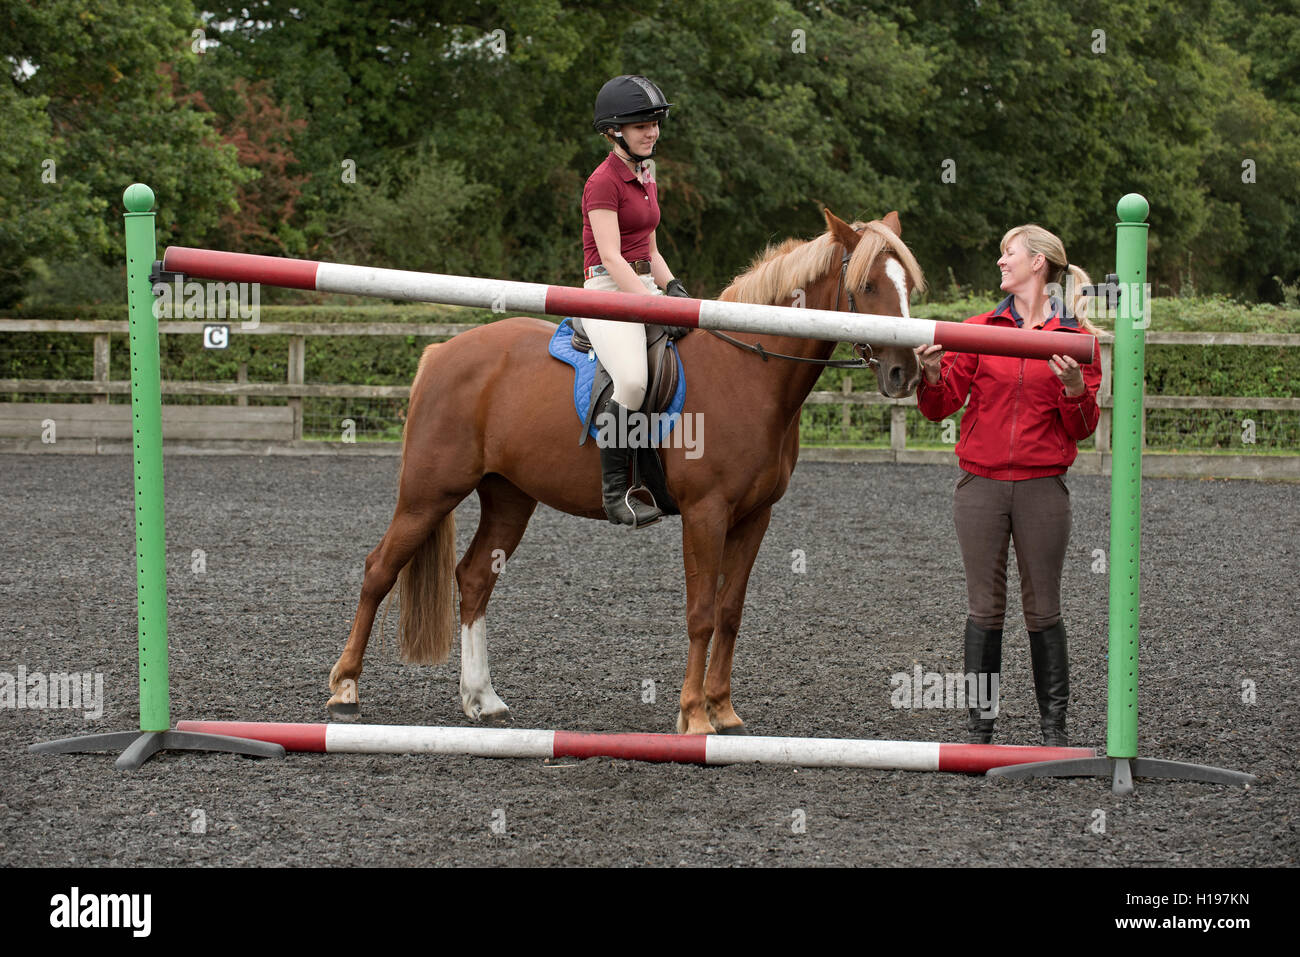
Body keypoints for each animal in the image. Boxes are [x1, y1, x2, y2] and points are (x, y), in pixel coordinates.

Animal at [327, 208, 925, 733]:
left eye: (908, 289)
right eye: (867, 285)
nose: (907, 372)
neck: (747, 372)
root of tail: (441, 353)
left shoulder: (755, 516)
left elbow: (730, 611)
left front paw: (725, 712)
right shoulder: (706, 514)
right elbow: (702, 613)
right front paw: (694, 717)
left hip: (509, 497)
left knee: (474, 578)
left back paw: (483, 699)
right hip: (429, 492)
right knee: (379, 570)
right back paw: (346, 690)